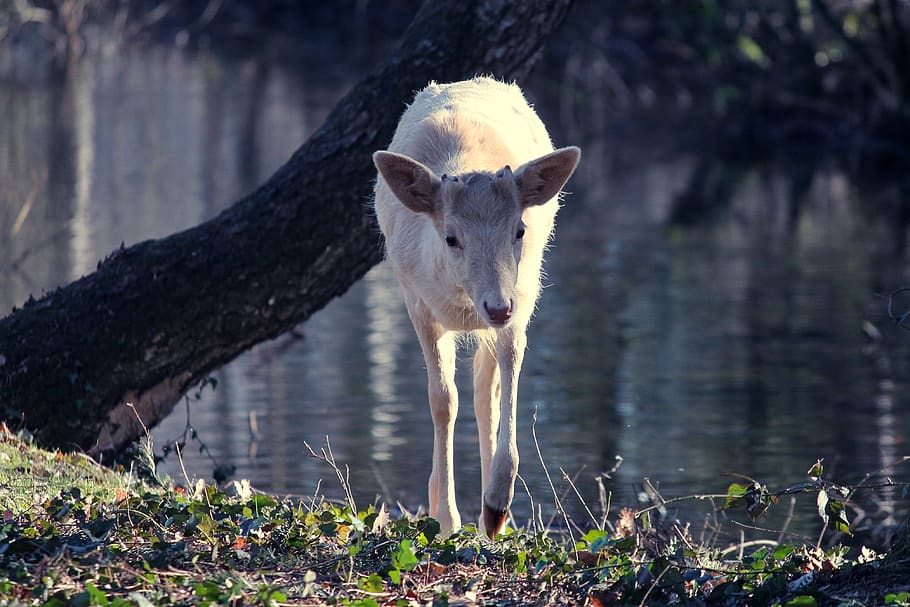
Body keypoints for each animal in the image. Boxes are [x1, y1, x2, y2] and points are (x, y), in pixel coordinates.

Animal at [372, 77, 580, 536]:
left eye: (519, 229)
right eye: (451, 237)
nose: (497, 307)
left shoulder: (523, 296)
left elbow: (506, 383)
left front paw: (496, 506)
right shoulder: (417, 302)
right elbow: (442, 400)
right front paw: (447, 520)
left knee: (487, 391)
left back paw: (495, 516)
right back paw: (437, 498)